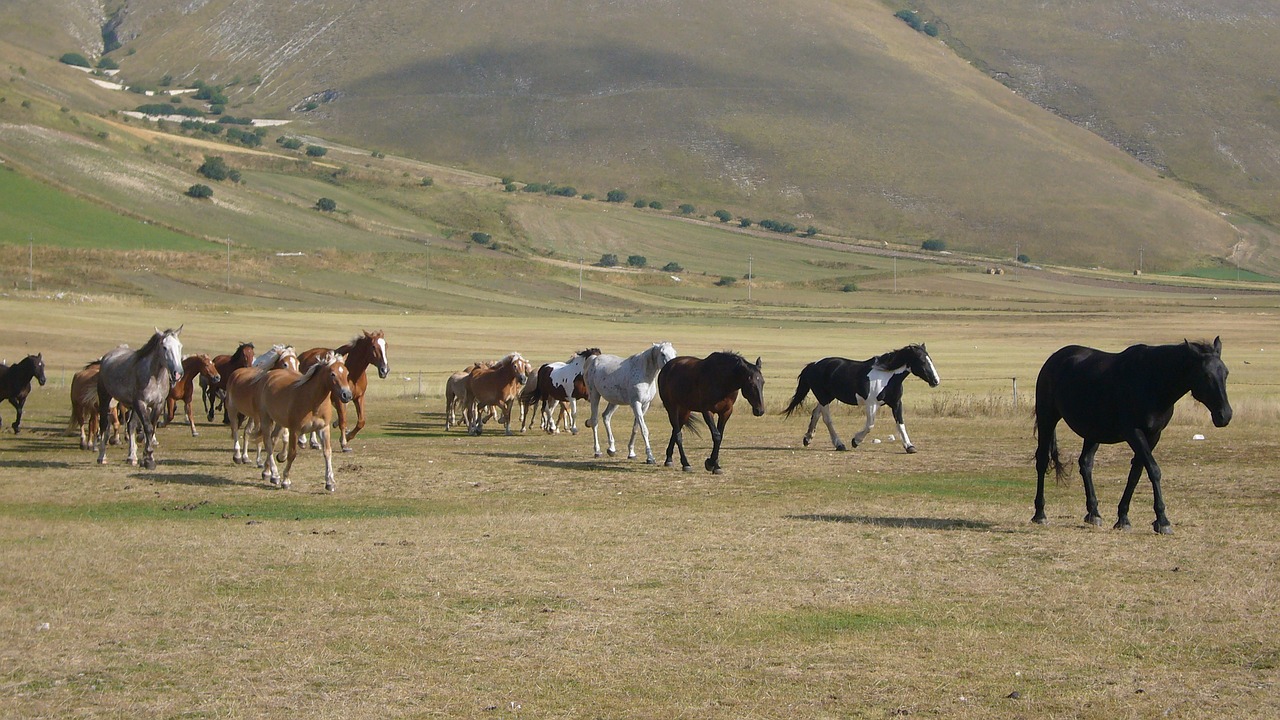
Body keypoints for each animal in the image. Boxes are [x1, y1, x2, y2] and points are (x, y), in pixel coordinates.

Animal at [257, 351, 353, 489]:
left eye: (347, 373)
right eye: (333, 374)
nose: (347, 395)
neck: (312, 401)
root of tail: (270, 375)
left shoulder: (323, 428)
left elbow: (327, 452)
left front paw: (330, 482)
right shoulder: (295, 430)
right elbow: (292, 454)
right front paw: (286, 480)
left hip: (280, 422)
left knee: (273, 439)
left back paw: (268, 472)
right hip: (266, 419)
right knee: (268, 444)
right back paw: (274, 474)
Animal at [778, 340, 942, 448]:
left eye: (930, 359)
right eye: (922, 361)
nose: (936, 381)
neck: (887, 377)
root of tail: (813, 365)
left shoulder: (896, 403)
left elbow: (900, 423)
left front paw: (909, 446)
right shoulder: (871, 404)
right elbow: (870, 425)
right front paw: (855, 441)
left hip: (827, 397)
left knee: (816, 413)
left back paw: (808, 438)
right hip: (824, 398)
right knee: (827, 419)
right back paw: (839, 444)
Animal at [1029, 338, 1228, 532]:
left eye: (1225, 373)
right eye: (1206, 375)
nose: (1225, 415)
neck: (1153, 382)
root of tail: (1054, 359)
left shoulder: (1153, 435)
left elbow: (1136, 473)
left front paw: (1123, 518)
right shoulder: (1134, 433)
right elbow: (1153, 470)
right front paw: (1162, 520)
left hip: (1093, 431)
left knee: (1085, 463)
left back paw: (1093, 513)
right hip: (1048, 418)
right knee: (1042, 461)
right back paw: (1040, 514)